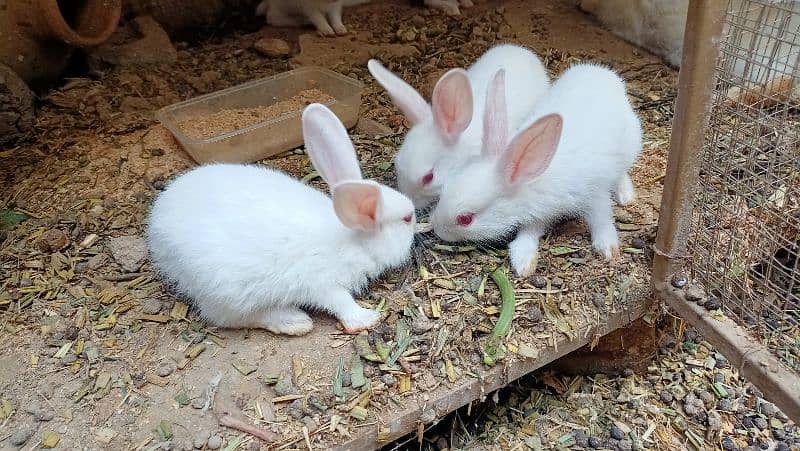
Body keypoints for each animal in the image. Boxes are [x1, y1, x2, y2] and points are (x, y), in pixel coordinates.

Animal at [146, 102, 416, 336]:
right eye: (406, 219)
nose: (415, 218)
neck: (352, 238)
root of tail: (156, 223)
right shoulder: (322, 282)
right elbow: (340, 301)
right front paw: (367, 319)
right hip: (225, 290)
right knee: (229, 317)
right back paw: (295, 322)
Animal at [432, 65, 644, 278]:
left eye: (465, 219)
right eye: (444, 192)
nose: (437, 229)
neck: (531, 180)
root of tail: (603, 72)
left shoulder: (594, 194)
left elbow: (602, 218)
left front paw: (607, 249)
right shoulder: (540, 214)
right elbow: (529, 232)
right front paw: (523, 262)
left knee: (622, 173)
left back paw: (626, 196)